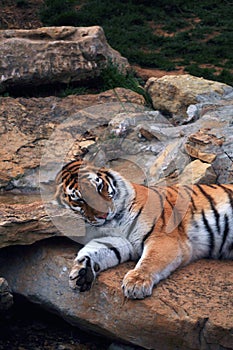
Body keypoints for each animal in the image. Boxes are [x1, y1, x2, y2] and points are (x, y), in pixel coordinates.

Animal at [55, 160, 233, 300]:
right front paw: (80, 273)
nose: (103, 215)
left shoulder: (164, 238)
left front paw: (136, 283)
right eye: (80, 200)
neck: (115, 221)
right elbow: (94, 249)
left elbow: (151, 259)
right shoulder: (118, 240)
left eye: (99, 187)